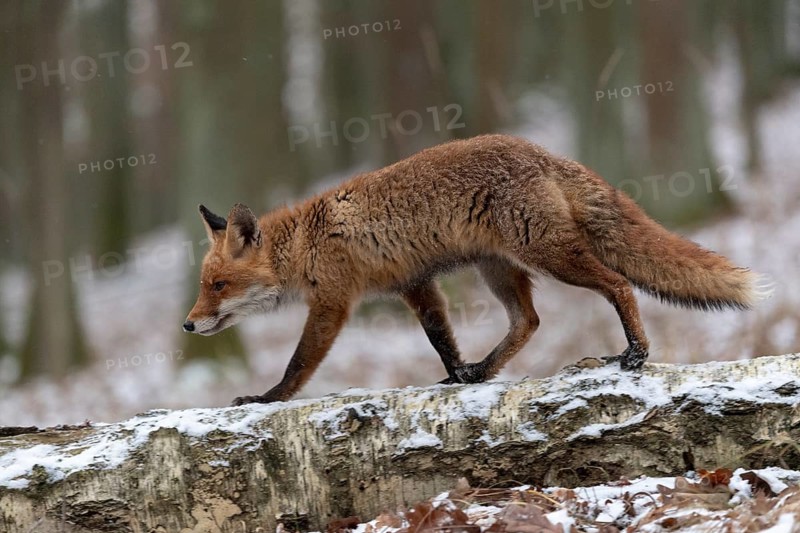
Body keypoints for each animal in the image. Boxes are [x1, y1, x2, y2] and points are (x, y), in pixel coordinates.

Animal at [183, 134, 769, 406]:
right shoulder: (414, 284)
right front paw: (458, 374)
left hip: (549, 255)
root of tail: (543, 151)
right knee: (528, 322)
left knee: (619, 284)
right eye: (203, 286)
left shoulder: (333, 302)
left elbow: (298, 363)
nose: (188, 324)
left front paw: (267, 398)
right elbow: (441, 339)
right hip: (500, 270)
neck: (306, 242)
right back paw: (484, 371)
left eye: (218, 285)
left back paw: (636, 352)